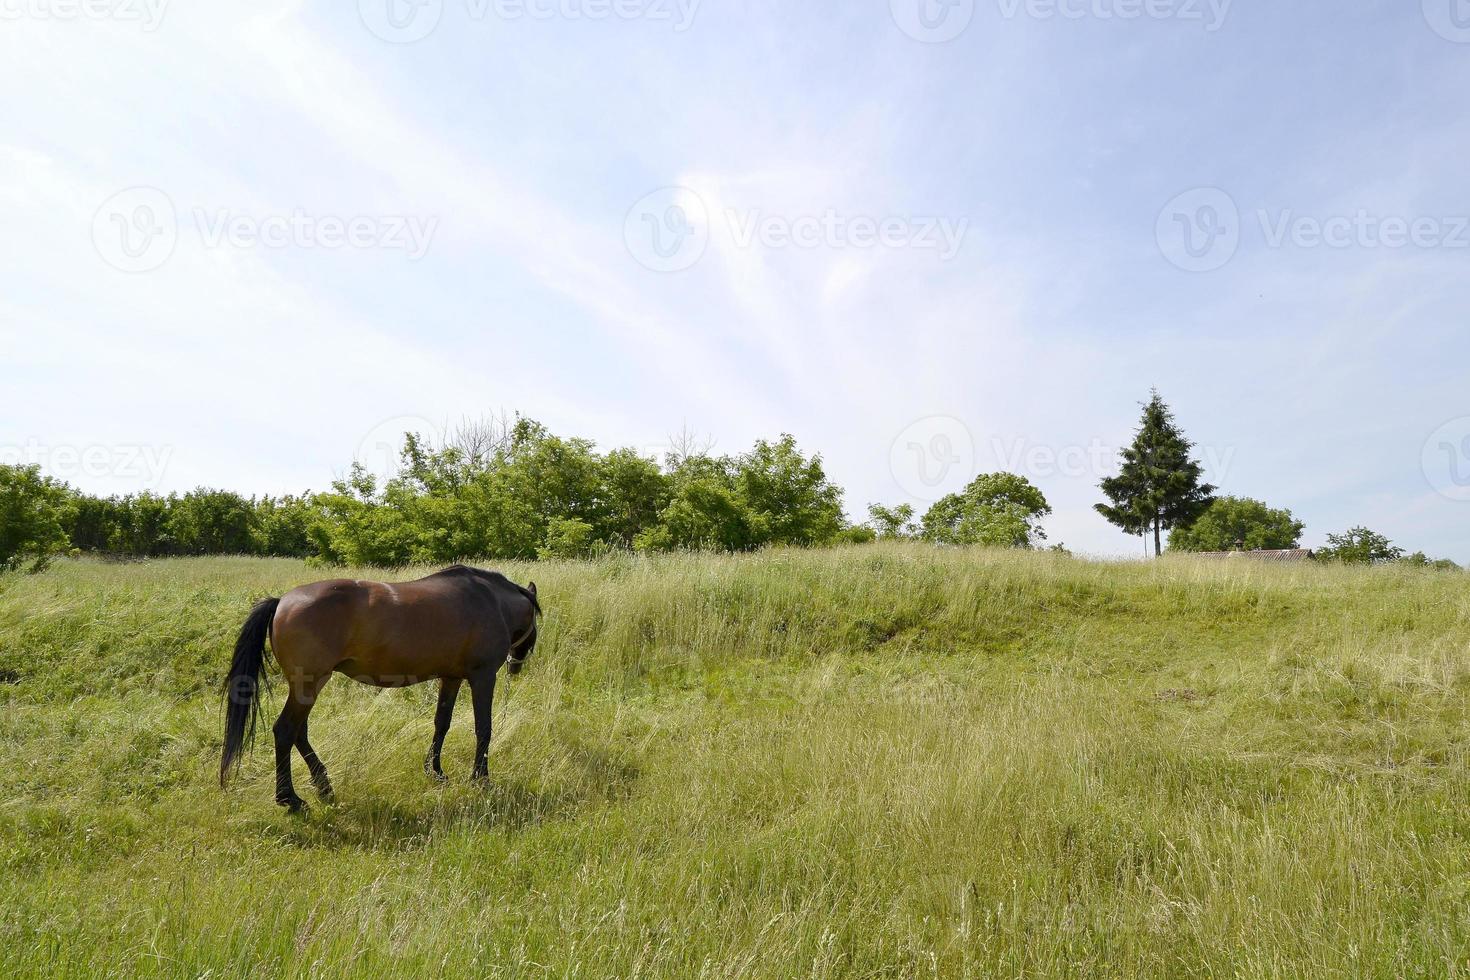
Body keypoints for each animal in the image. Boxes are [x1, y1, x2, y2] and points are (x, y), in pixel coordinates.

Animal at [217, 567, 540, 811]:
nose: (517, 663)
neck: (491, 601)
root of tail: (282, 601)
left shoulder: (450, 678)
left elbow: (442, 723)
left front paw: (435, 771)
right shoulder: (482, 677)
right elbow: (483, 728)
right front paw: (481, 778)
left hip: (306, 687)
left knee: (299, 732)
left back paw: (323, 785)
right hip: (309, 683)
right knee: (285, 730)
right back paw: (289, 798)